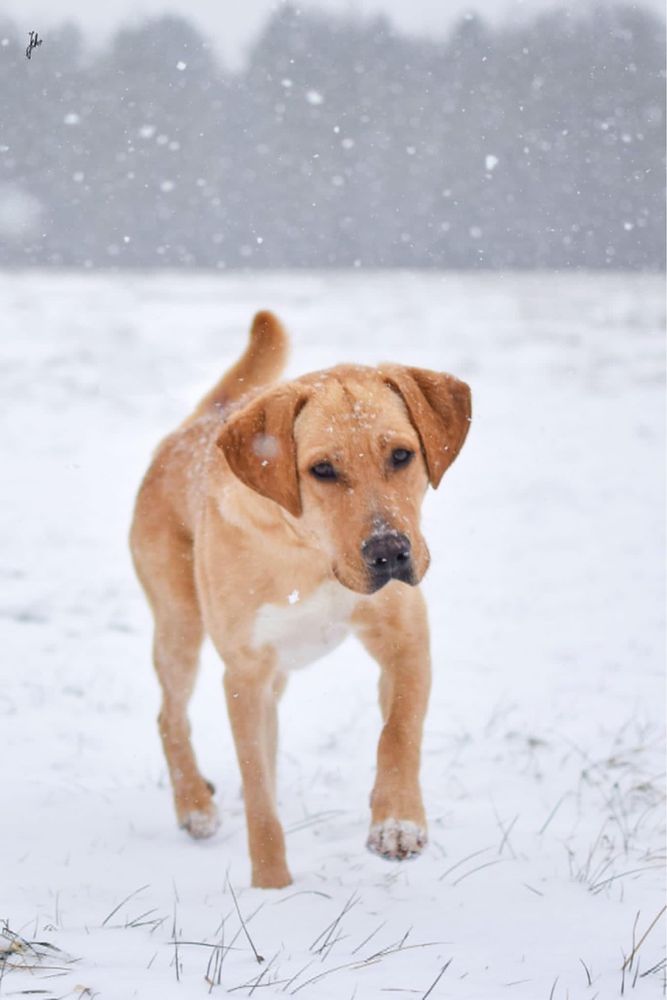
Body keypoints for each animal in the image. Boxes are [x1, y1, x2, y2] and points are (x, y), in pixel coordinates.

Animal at [130, 308, 472, 888]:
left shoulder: (405, 636)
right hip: (179, 626)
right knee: (169, 715)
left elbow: (398, 732)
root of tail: (195, 427)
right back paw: (194, 804)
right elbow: (260, 801)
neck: (312, 556)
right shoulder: (245, 673)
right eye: (322, 470)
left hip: (277, 673)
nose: (389, 552)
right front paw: (272, 890)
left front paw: (397, 824)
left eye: (402, 455)